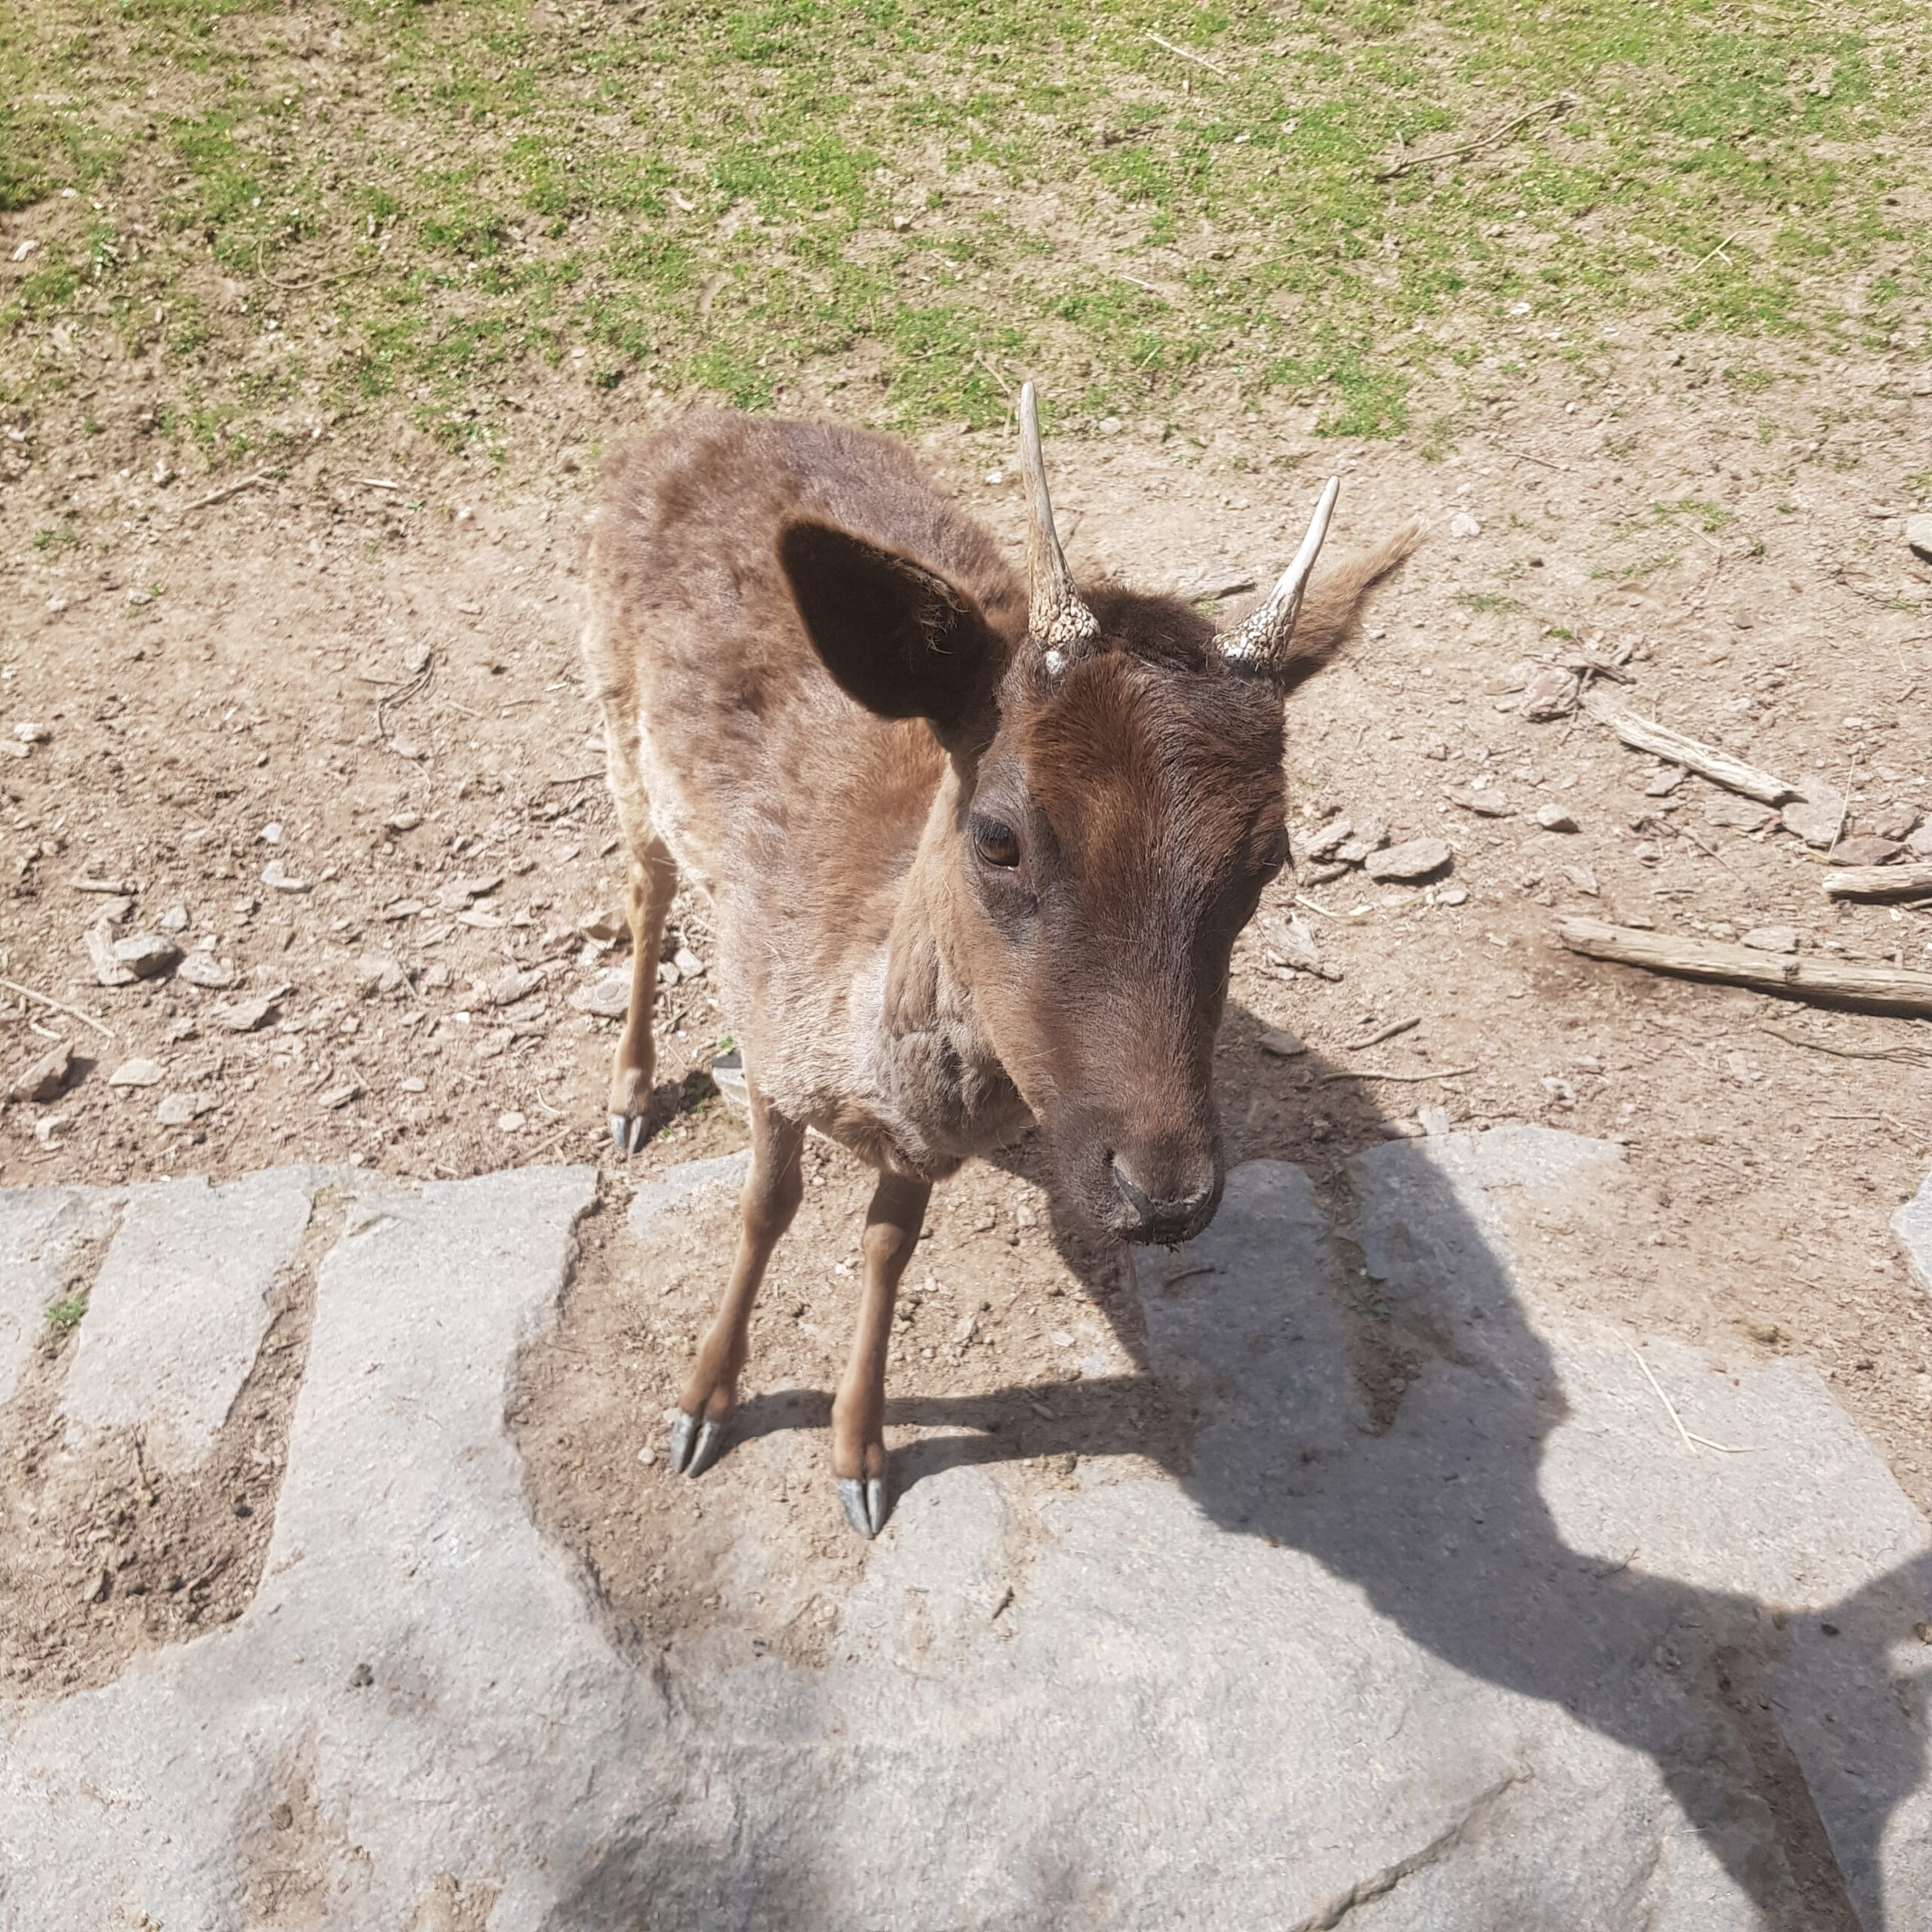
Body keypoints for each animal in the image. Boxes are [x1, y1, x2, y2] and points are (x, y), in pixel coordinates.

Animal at [583, 384, 1419, 1538]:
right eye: (998, 836)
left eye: (1272, 856)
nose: (1166, 1197)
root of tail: (695, 422)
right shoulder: (762, 1020)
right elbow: (764, 1206)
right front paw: (702, 1404)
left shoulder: (919, 1144)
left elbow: (889, 1243)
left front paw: (860, 1456)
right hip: (616, 718)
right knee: (644, 885)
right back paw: (627, 1092)